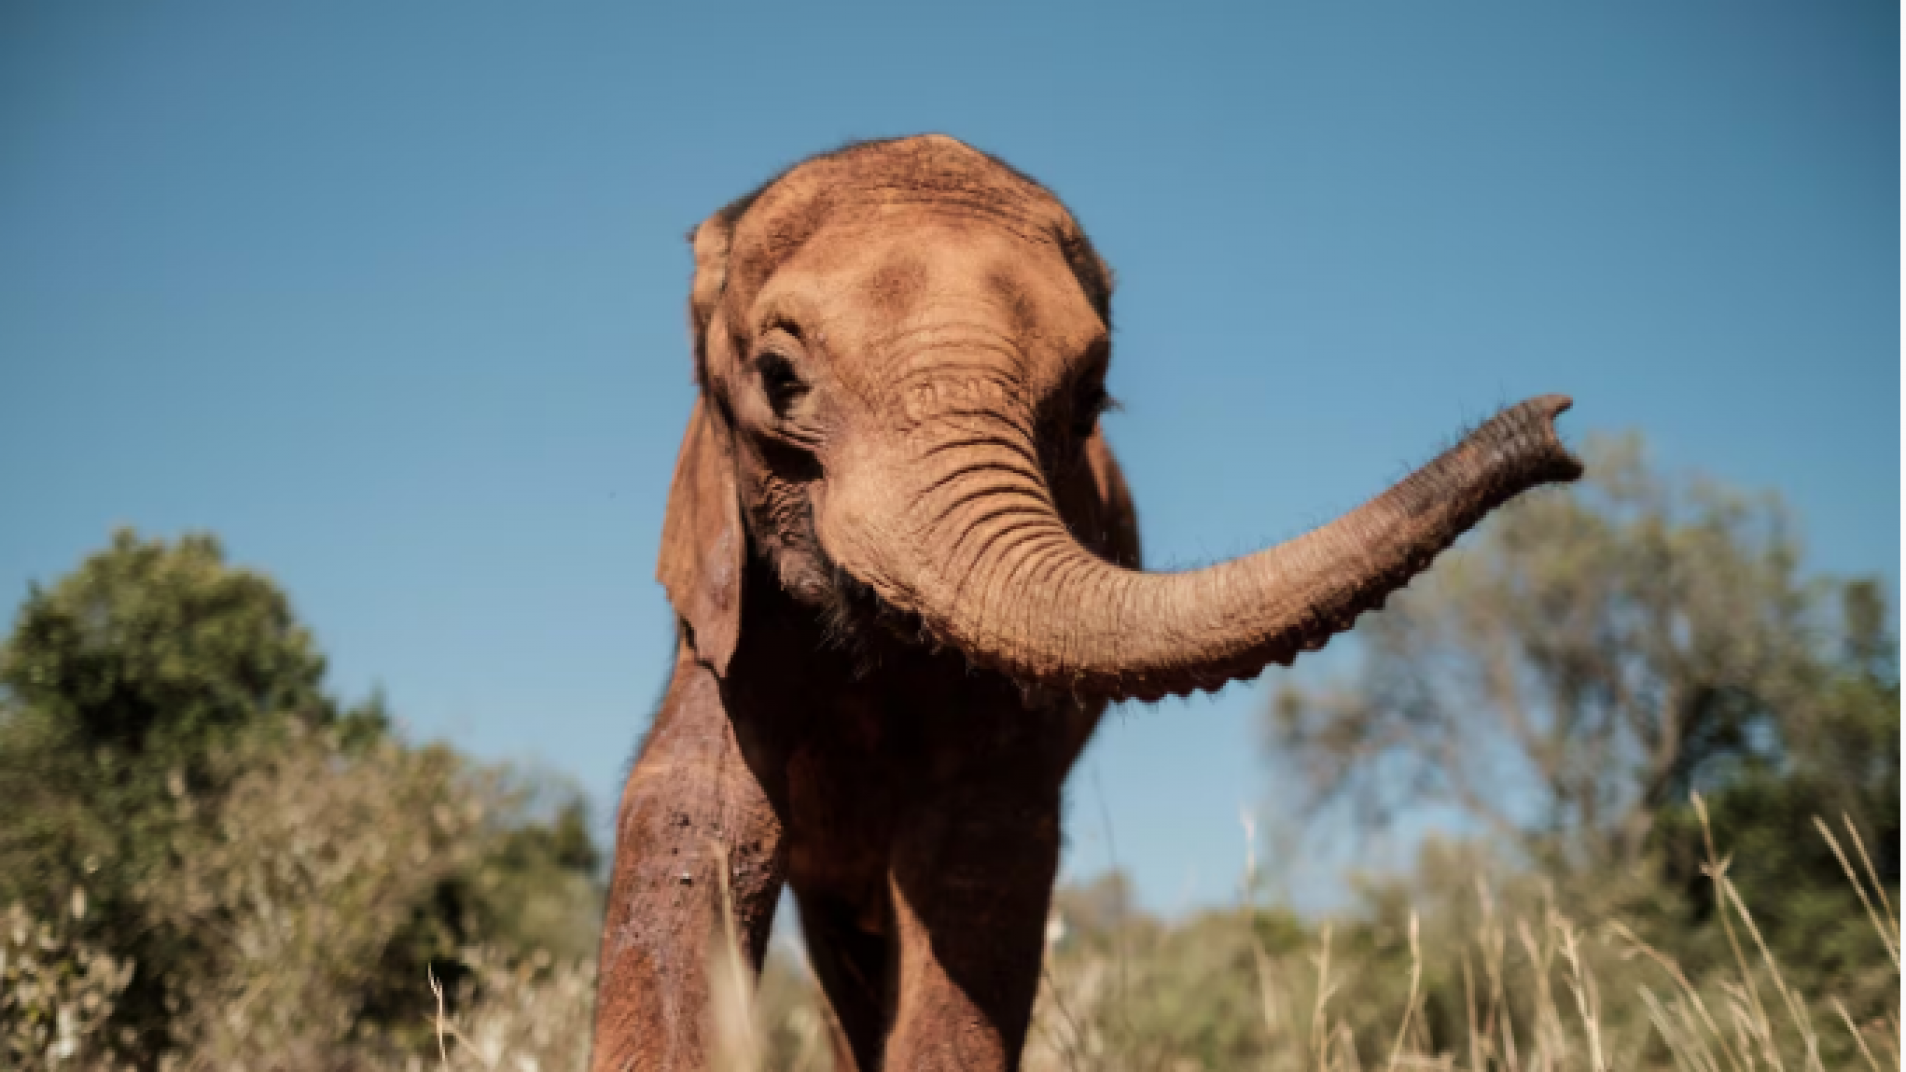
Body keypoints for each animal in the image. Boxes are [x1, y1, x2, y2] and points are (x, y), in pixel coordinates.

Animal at [591, 134, 1582, 1071]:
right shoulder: (728, 596)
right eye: (777, 378)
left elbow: (972, 860)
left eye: (1087, 403)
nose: (1558, 430)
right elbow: (698, 814)